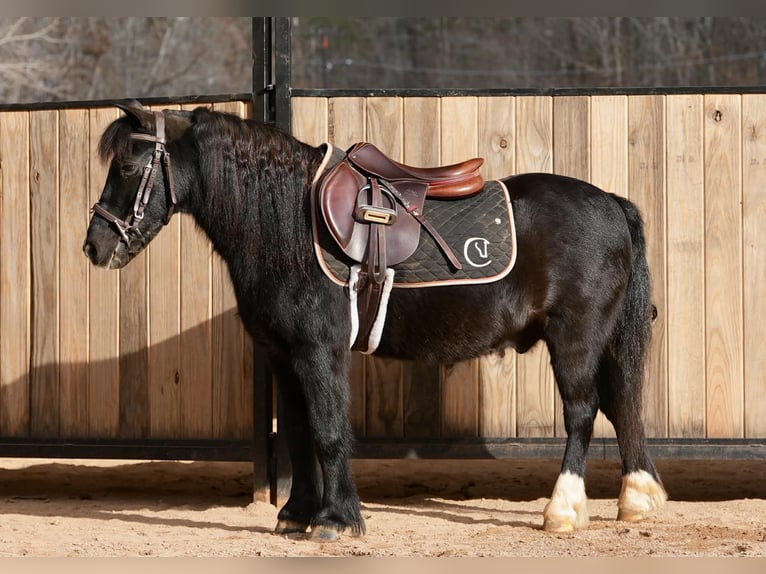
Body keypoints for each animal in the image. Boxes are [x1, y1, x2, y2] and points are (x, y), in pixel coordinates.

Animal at [83, 99, 667, 541]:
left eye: (128, 167)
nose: (95, 246)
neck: (289, 225)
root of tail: (611, 202)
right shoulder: (283, 355)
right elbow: (298, 431)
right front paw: (296, 514)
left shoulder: (318, 350)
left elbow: (328, 429)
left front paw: (336, 520)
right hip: (606, 341)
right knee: (623, 403)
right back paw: (637, 498)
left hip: (575, 339)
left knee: (583, 412)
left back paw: (562, 510)